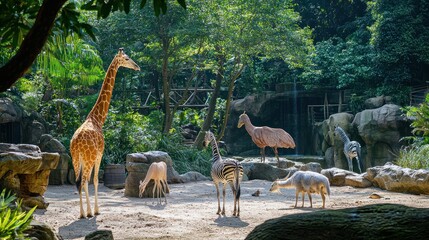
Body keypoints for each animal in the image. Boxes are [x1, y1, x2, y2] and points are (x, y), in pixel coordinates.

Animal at [70, 47, 140, 218]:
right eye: (126, 58)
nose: (137, 67)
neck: (96, 118)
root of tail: (76, 143)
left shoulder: (92, 157)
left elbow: (91, 181)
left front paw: (91, 210)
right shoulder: (99, 154)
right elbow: (95, 180)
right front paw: (95, 210)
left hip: (75, 158)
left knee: (78, 181)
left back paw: (81, 213)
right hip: (87, 159)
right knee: (83, 180)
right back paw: (86, 213)